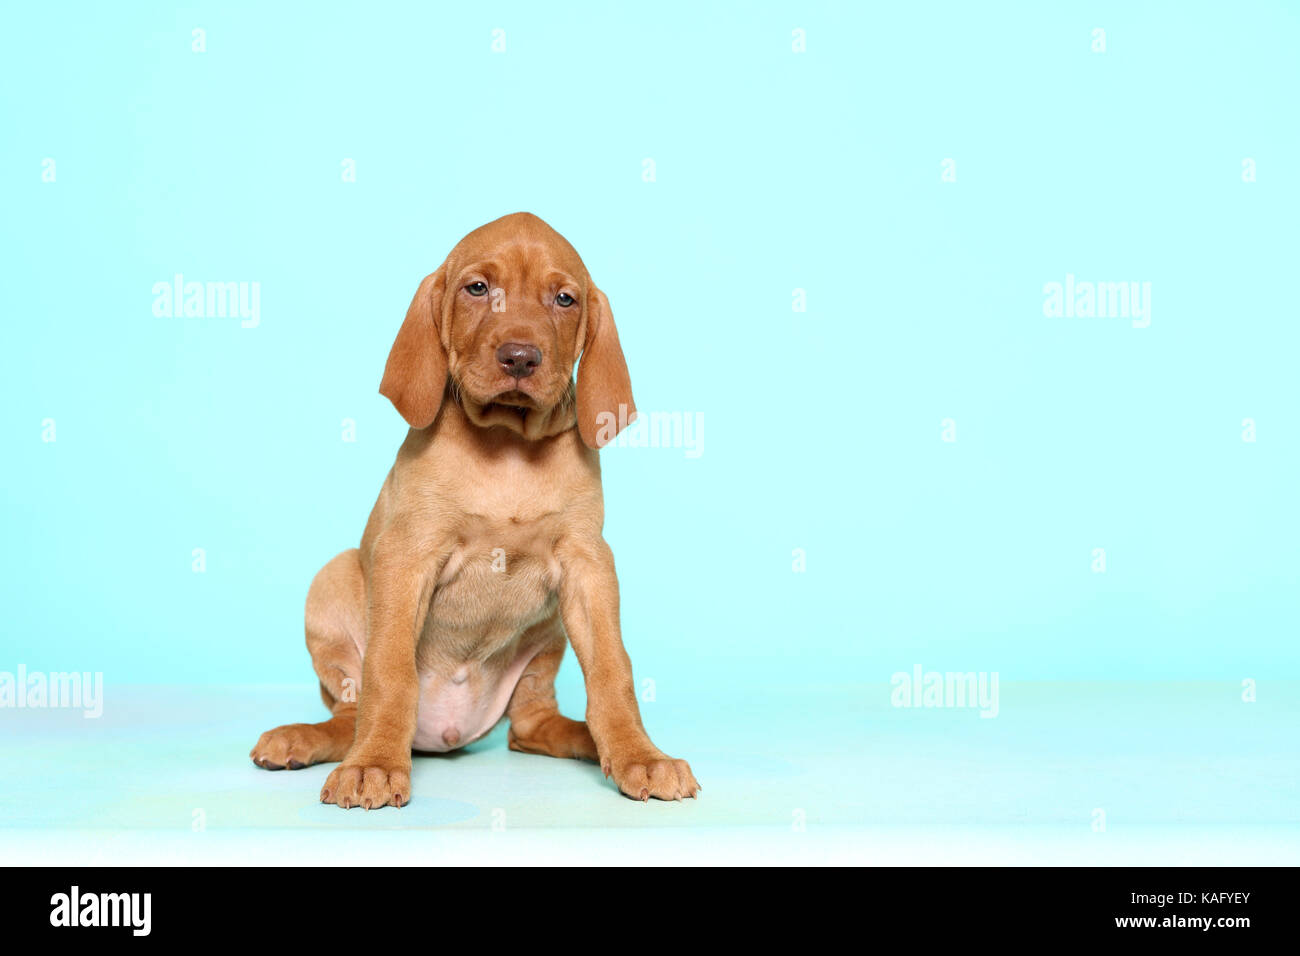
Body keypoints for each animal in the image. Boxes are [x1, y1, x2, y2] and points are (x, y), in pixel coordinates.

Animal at [253, 213, 702, 806]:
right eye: (477, 289)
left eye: (564, 299)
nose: (520, 357)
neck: (508, 446)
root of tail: (445, 734)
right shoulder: (406, 556)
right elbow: (389, 671)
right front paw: (374, 766)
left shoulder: (589, 564)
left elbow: (613, 670)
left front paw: (640, 755)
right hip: (332, 578)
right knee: (349, 713)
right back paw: (313, 741)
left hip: (548, 636)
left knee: (531, 726)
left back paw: (590, 740)